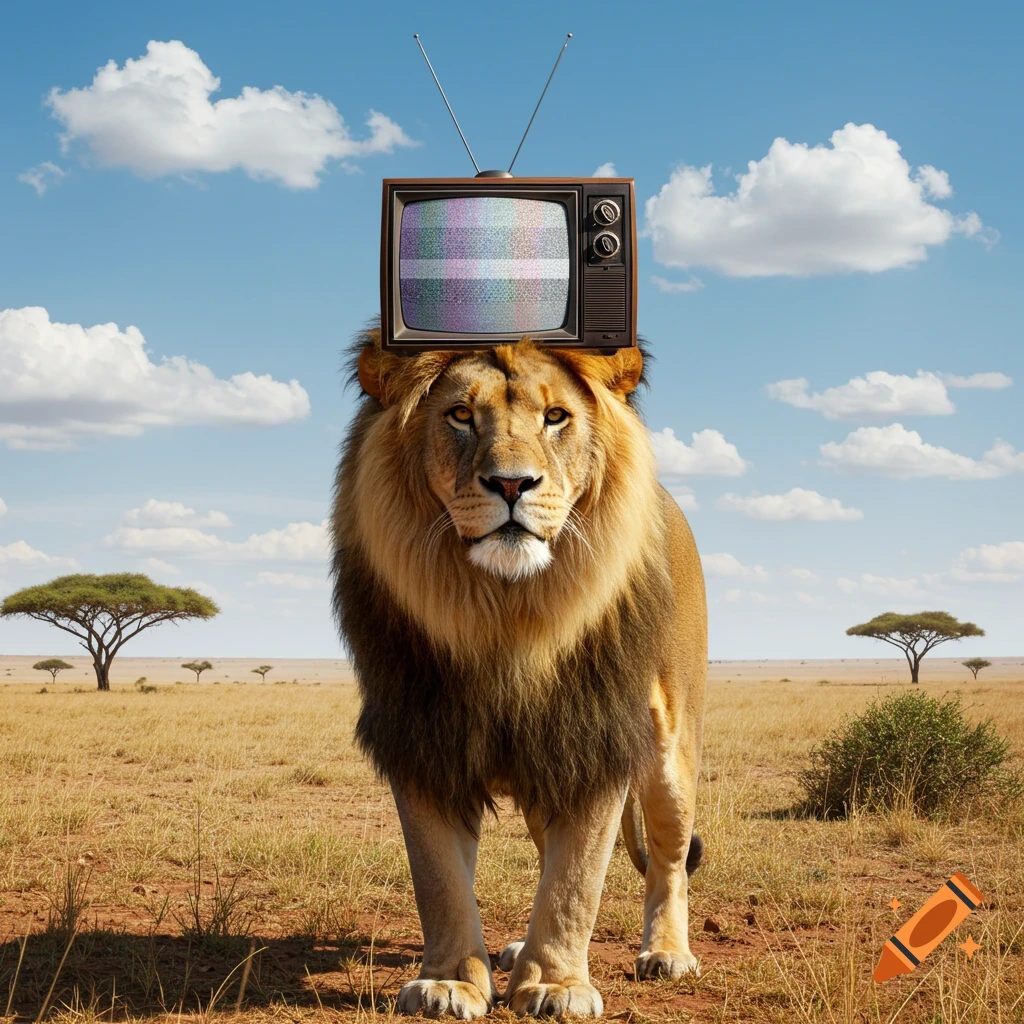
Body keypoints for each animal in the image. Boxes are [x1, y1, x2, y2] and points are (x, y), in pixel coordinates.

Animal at [330, 330, 707, 1018]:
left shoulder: (594, 736)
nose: (511, 484)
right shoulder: (423, 736)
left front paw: (556, 984)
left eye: (555, 417)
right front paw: (450, 981)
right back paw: (512, 951)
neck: (507, 615)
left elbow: (576, 879)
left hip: (671, 746)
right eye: (460, 415)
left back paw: (667, 952)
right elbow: (440, 879)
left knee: (667, 857)